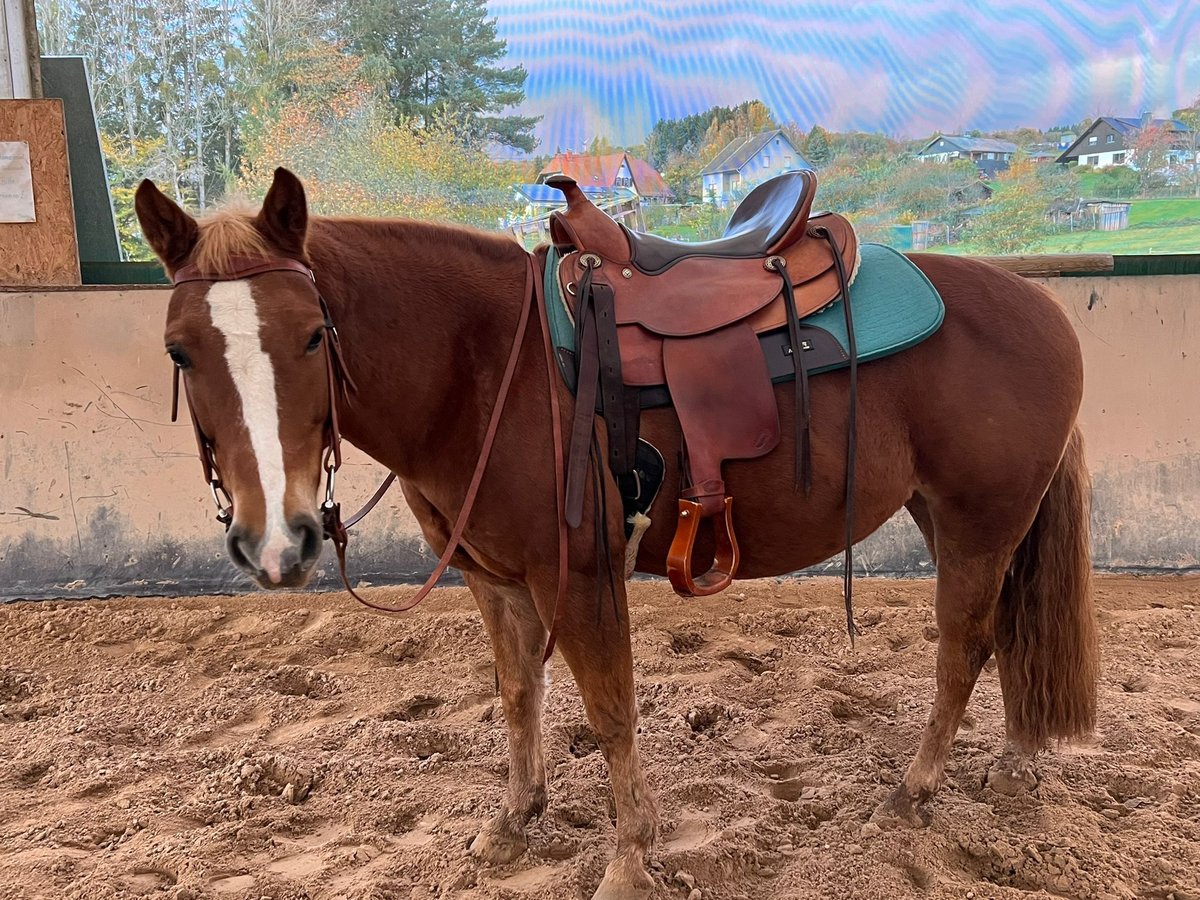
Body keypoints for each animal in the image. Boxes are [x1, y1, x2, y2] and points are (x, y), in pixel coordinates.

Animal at [134, 167, 1098, 900]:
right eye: (180, 350)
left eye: (310, 337)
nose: (277, 542)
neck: (485, 365)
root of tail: (1041, 306)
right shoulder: (493, 577)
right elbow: (518, 695)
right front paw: (514, 821)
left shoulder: (582, 575)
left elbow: (610, 712)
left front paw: (630, 862)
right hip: (950, 519)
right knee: (1008, 632)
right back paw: (1013, 764)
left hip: (978, 523)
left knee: (964, 647)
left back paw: (914, 790)